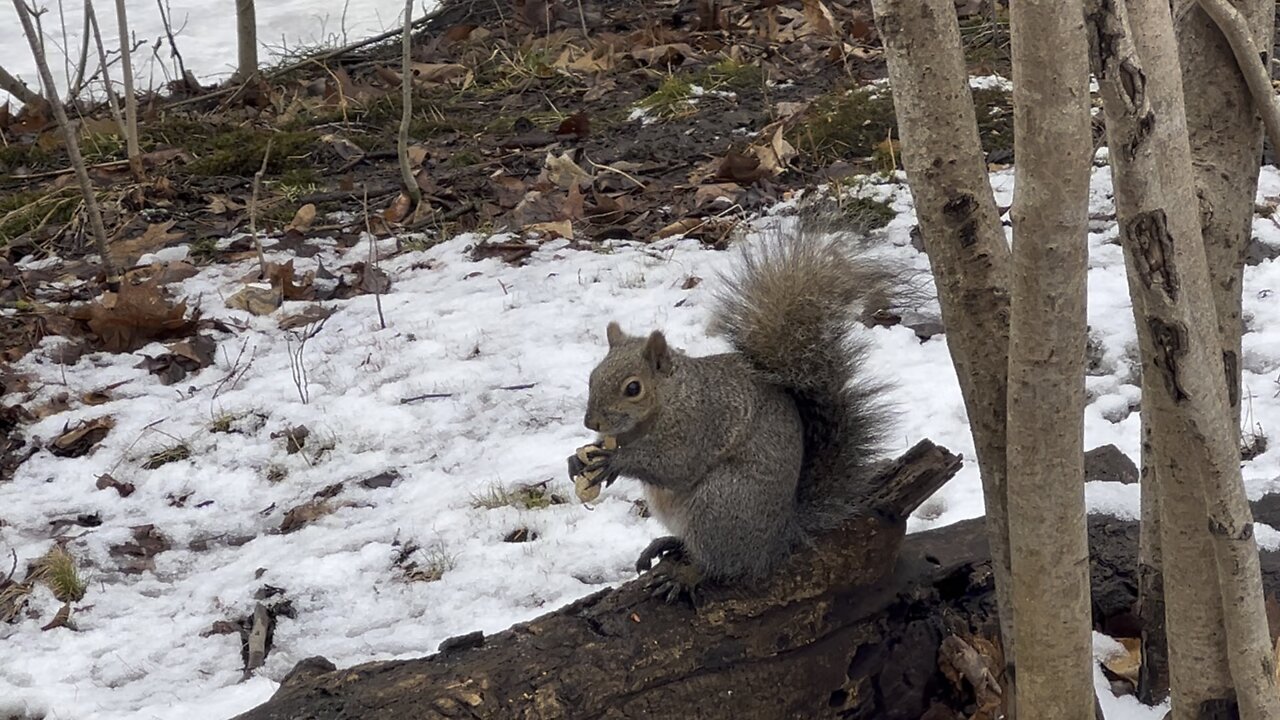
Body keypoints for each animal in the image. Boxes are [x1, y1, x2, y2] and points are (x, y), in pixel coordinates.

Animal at [568, 224, 890, 599]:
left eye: (633, 388)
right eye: (593, 375)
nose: (591, 421)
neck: (666, 403)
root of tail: (777, 539)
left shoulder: (700, 422)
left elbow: (675, 464)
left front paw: (615, 461)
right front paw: (578, 460)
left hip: (720, 504)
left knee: (720, 564)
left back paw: (685, 574)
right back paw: (667, 543)